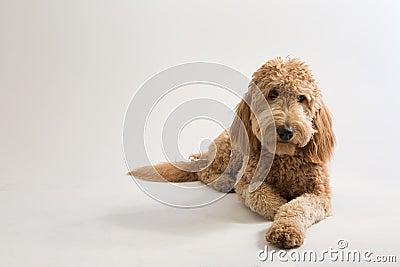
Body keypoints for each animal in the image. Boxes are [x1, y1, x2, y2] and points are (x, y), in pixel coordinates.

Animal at [130, 57, 336, 250]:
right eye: (273, 94)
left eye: (301, 98)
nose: (286, 131)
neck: (284, 157)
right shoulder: (249, 182)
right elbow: (262, 197)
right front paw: (279, 206)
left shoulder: (320, 194)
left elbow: (298, 206)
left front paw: (286, 227)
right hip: (227, 152)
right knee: (205, 173)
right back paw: (226, 182)